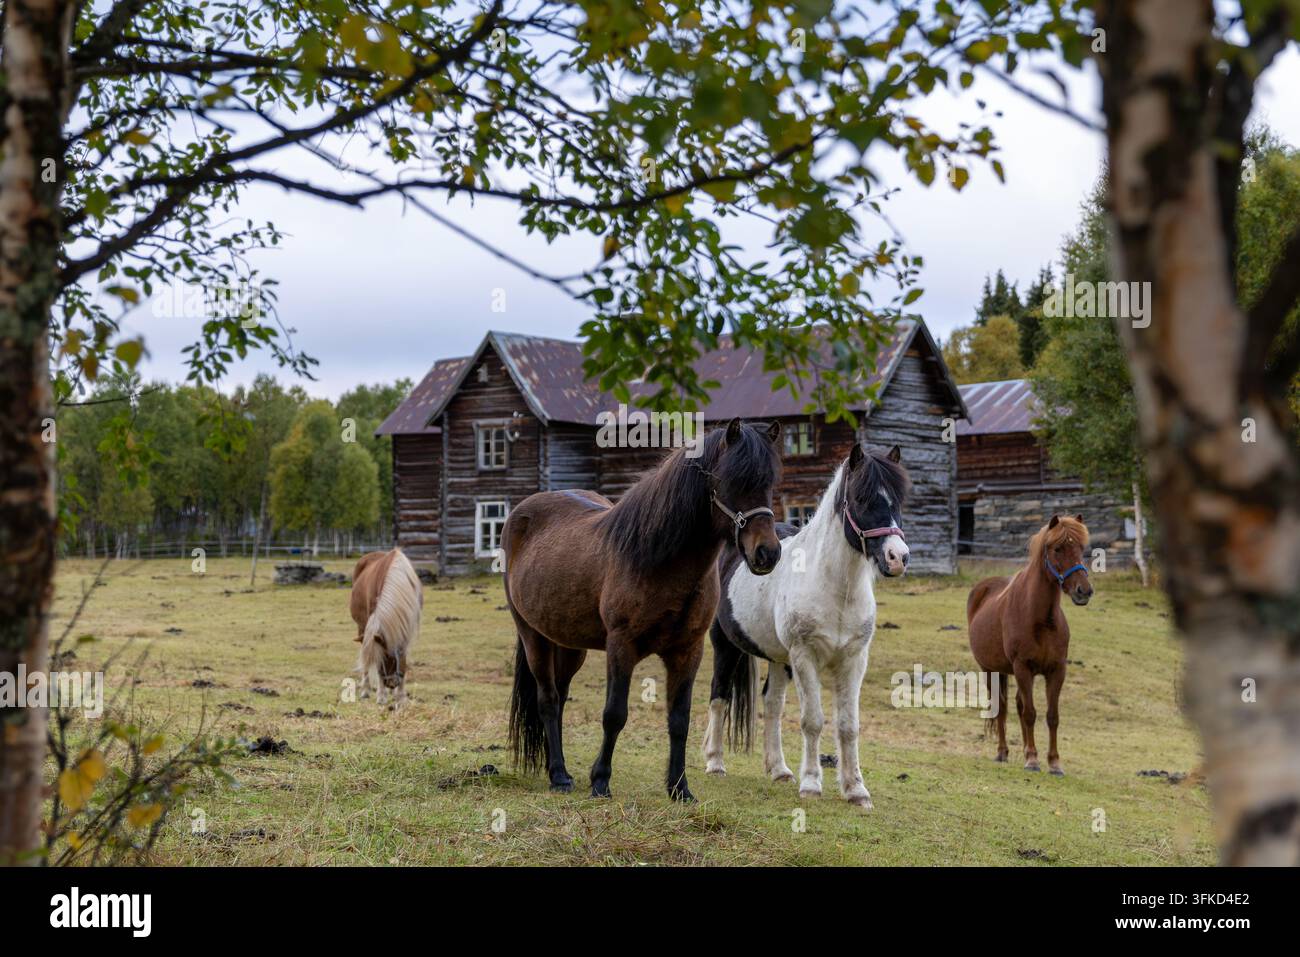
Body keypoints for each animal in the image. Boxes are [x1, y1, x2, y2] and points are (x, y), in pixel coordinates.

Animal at [350, 548, 424, 707]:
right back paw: (366, 690)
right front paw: (381, 696)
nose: (391, 683)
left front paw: (400, 697)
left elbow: (404, 662)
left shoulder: (406, 629)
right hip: (362, 628)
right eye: (382, 657)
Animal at [504, 418, 783, 801]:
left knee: (559, 698)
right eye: (733, 480)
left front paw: (679, 787)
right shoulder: (621, 646)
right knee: (547, 699)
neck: (658, 560)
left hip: (569, 644)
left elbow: (679, 719)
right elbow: (614, 714)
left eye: (769, 482)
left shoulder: (688, 651)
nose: (767, 553)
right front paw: (600, 780)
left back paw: (556, 768)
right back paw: (559, 775)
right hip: (533, 636)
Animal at [702, 443, 910, 809]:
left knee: (771, 705)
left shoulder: (853, 661)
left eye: (897, 500)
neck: (834, 588)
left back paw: (779, 769)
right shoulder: (804, 657)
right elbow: (812, 721)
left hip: (778, 659)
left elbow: (848, 726)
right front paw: (812, 783)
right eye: (862, 500)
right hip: (726, 647)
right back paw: (715, 763)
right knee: (719, 697)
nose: (898, 557)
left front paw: (855, 789)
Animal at [967, 515, 1093, 774]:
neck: (1040, 618)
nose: (1083, 591)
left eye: (1081, 548)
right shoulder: (1022, 667)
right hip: (991, 671)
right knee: (1003, 708)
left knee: (1017, 705)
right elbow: (1030, 713)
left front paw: (1054, 762)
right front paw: (1033, 759)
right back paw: (1003, 752)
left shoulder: (1056, 670)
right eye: (1057, 549)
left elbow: (1051, 716)